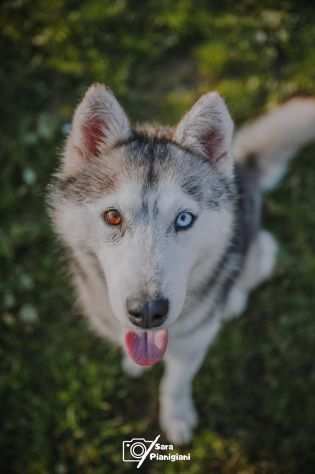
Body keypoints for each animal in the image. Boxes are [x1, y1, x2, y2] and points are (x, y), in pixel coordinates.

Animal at [48, 85, 315, 444]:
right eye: (113, 216)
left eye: (184, 219)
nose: (148, 312)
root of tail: (242, 168)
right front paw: (134, 363)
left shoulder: (193, 344)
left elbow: (175, 384)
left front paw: (176, 417)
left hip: (262, 252)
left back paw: (232, 300)